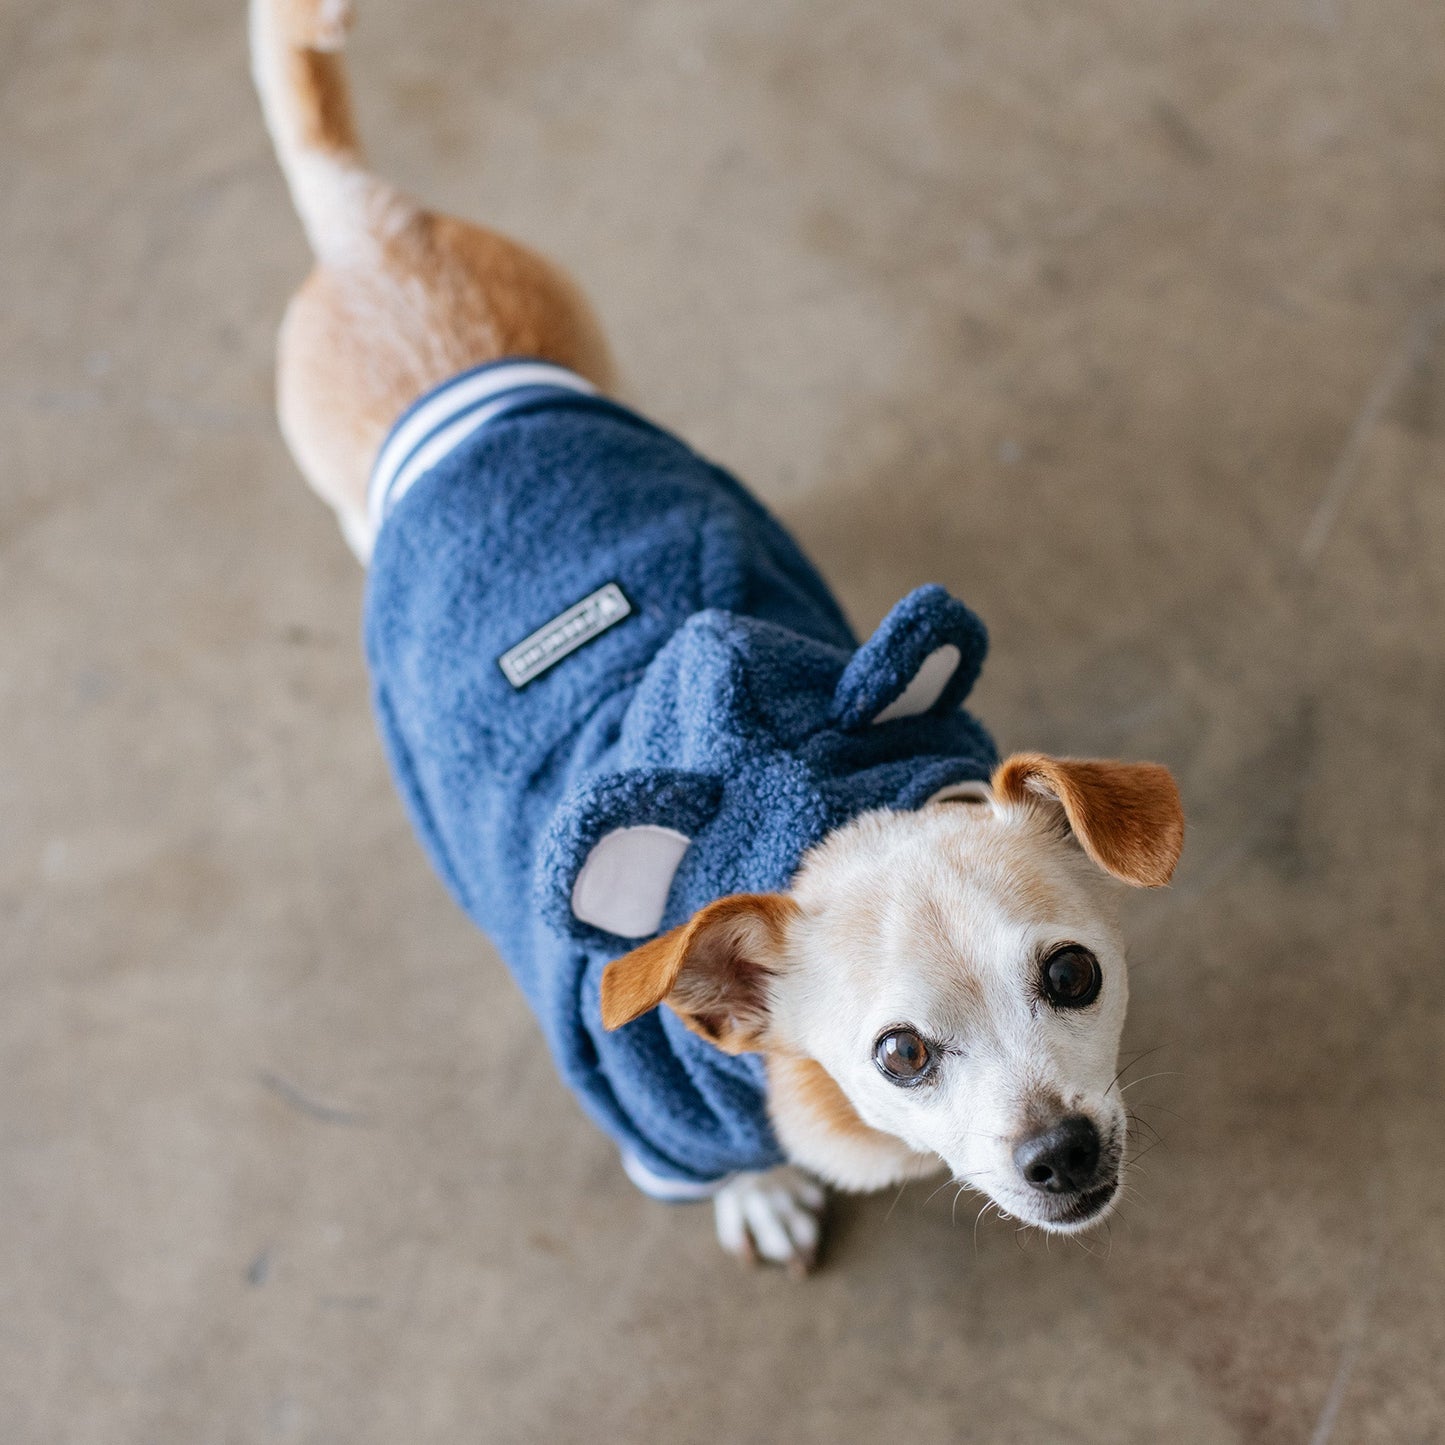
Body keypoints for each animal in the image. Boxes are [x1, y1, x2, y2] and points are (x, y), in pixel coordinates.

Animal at [257, 0, 1184, 1265]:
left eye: (1073, 972)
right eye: (900, 1054)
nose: (1062, 1152)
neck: (813, 797)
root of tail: (373, 229)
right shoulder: (658, 1119)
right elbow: (725, 1162)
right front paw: (760, 1191)